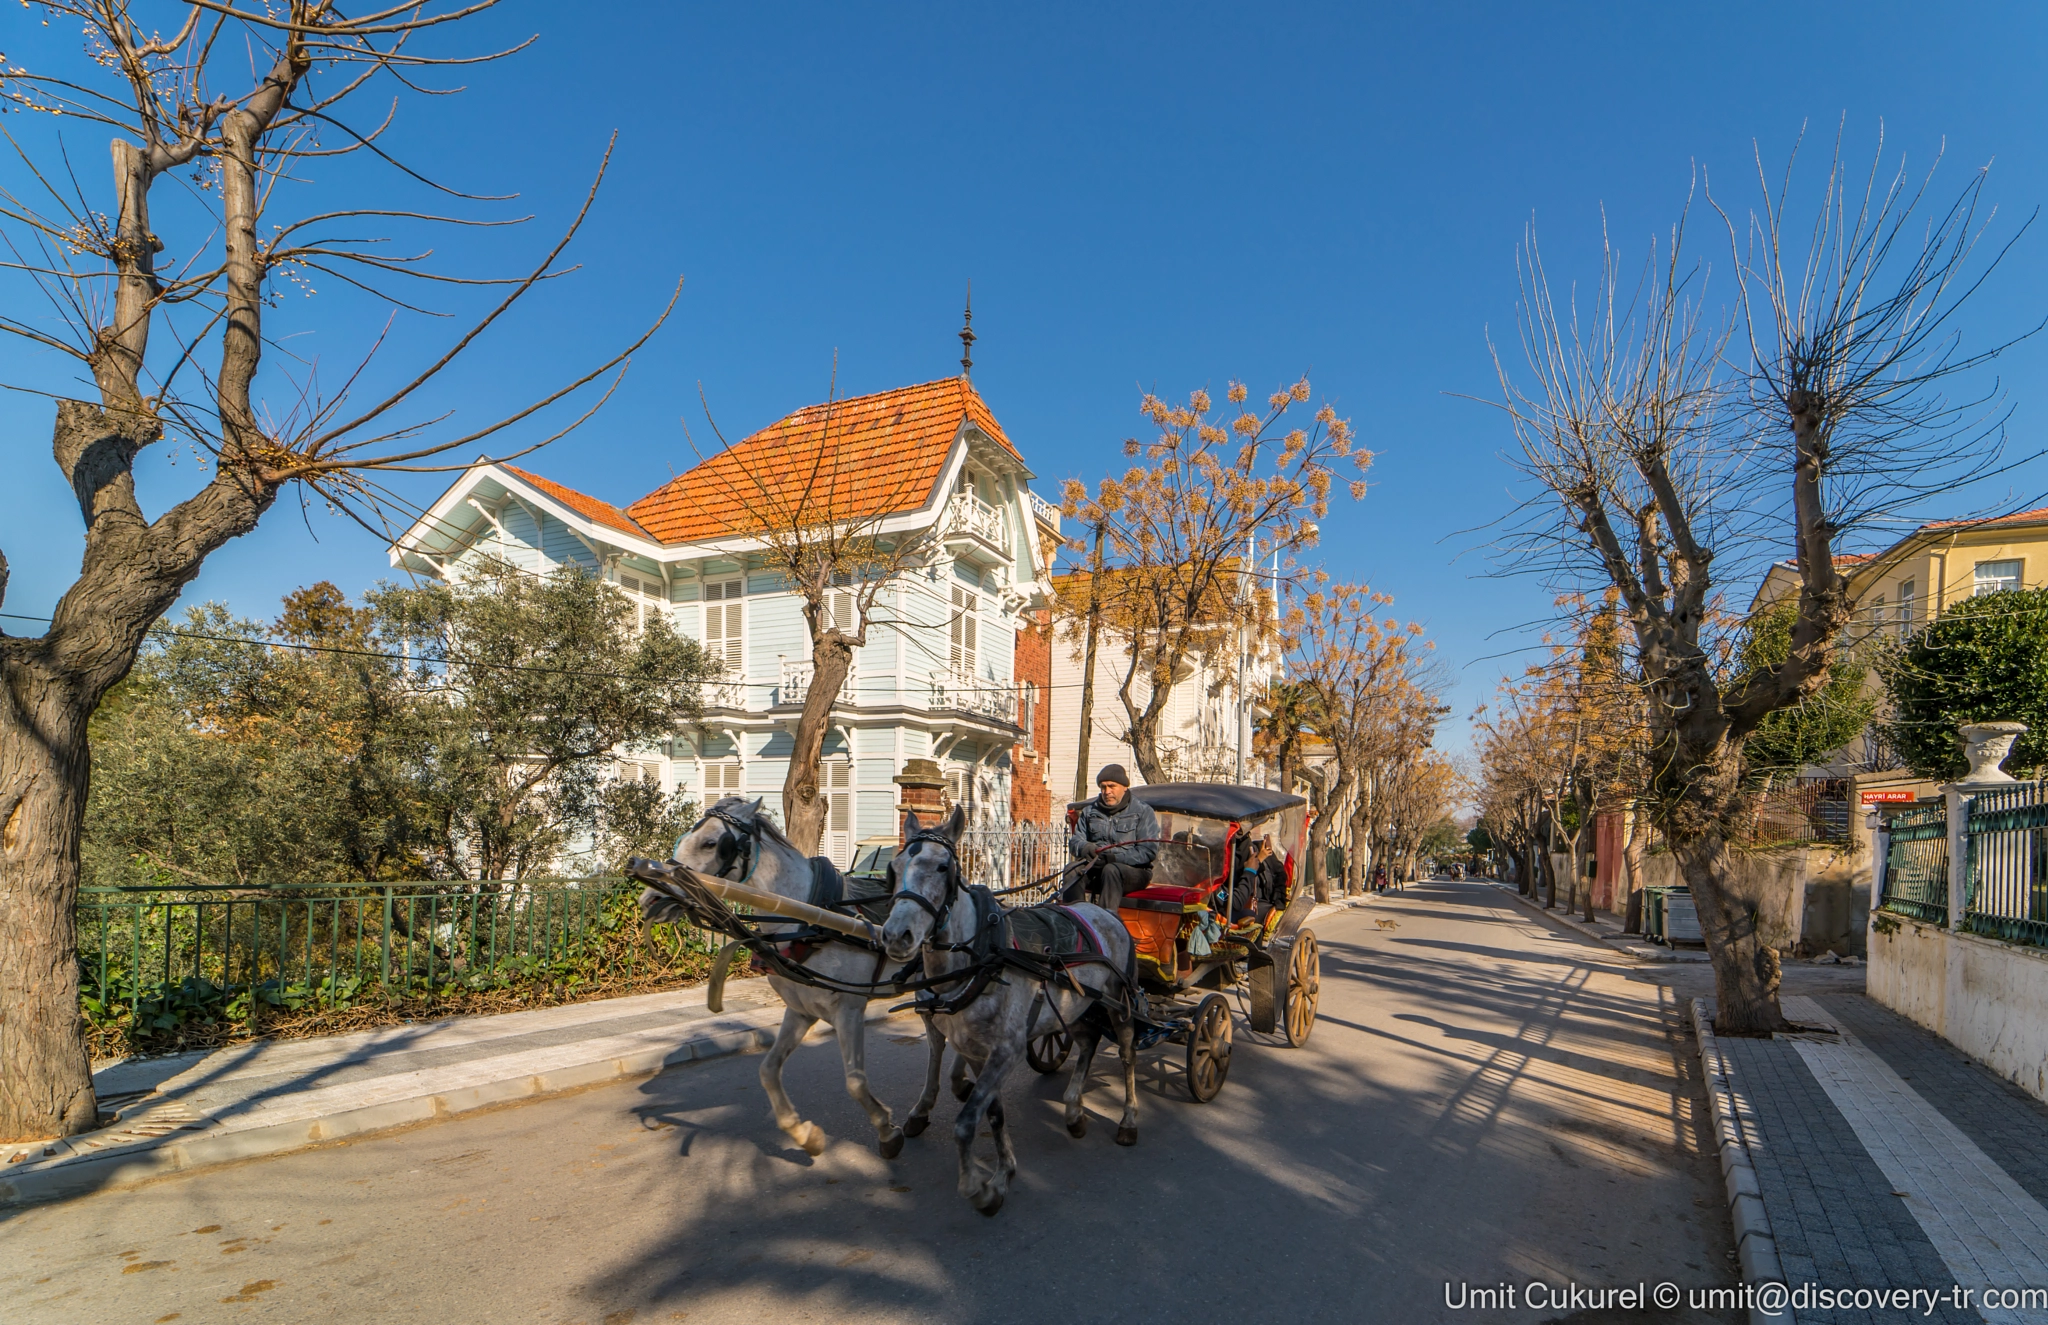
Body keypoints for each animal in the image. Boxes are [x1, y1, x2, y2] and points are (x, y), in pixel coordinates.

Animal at [634, 798, 946, 1163]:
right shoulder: (801, 1010)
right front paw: (805, 1135)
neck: (809, 919)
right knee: (938, 1041)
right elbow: (768, 1071)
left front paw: (886, 1131)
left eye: (712, 843)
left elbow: (855, 1082)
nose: (650, 899)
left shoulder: (849, 1010)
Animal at [876, 802, 1146, 1220]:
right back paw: (1073, 1110)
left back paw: (1128, 1119)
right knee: (1086, 1042)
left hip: (1120, 1002)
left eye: (943, 867)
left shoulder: (1006, 1051)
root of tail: (1106, 912)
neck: (981, 955)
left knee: (1128, 1054)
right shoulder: (976, 1051)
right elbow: (993, 1113)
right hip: (1075, 1006)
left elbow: (966, 1123)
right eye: (894, 866)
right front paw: (1003, 1174)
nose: (895, 935)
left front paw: (979, 1188)